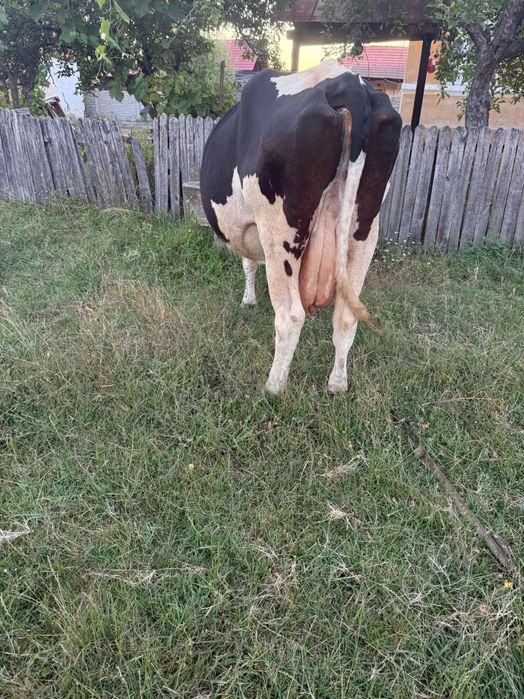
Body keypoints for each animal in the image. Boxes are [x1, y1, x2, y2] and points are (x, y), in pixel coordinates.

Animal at [200, 60, 402, 394]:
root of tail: (351, 85)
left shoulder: (253, 226)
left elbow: (248, 263)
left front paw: (248, 300)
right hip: (365, 230)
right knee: (346, 316)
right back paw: (337, 384)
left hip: (281, 230)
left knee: (290, 316)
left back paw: (273, 387)